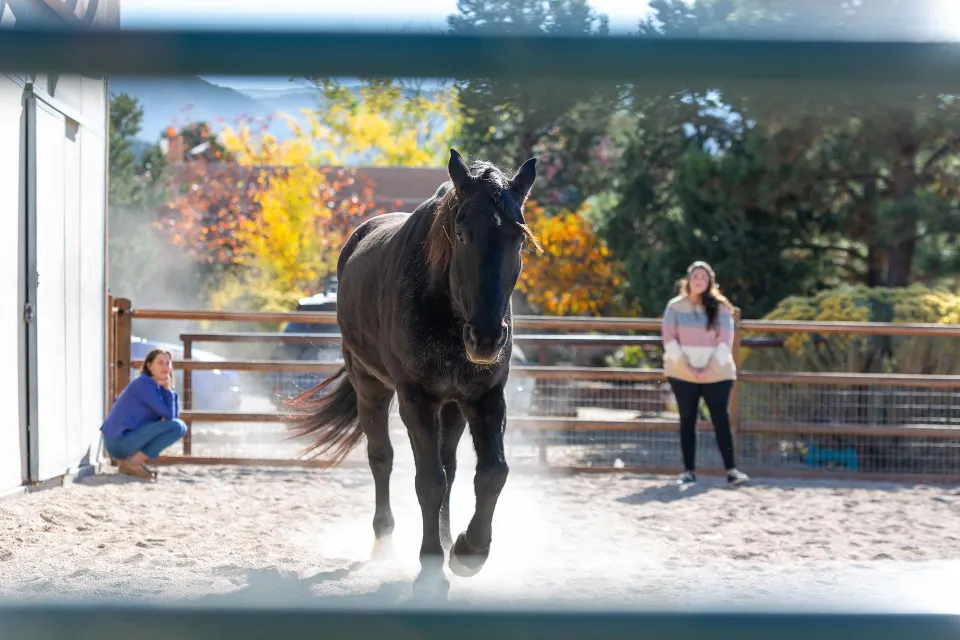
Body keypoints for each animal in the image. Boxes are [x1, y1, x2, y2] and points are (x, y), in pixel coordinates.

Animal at [287, 149, 540, 595]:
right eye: (462, 235)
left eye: (519, 239)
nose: (487, 339)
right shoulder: (415, 399)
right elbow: (428, 481)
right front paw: (431, 566)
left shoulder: (486, 398)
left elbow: (491, 473)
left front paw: (468, 550)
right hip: (370, 386)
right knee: (382, 458)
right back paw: (385, 539)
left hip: (452, 407)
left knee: (451, 467)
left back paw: (446, 536)